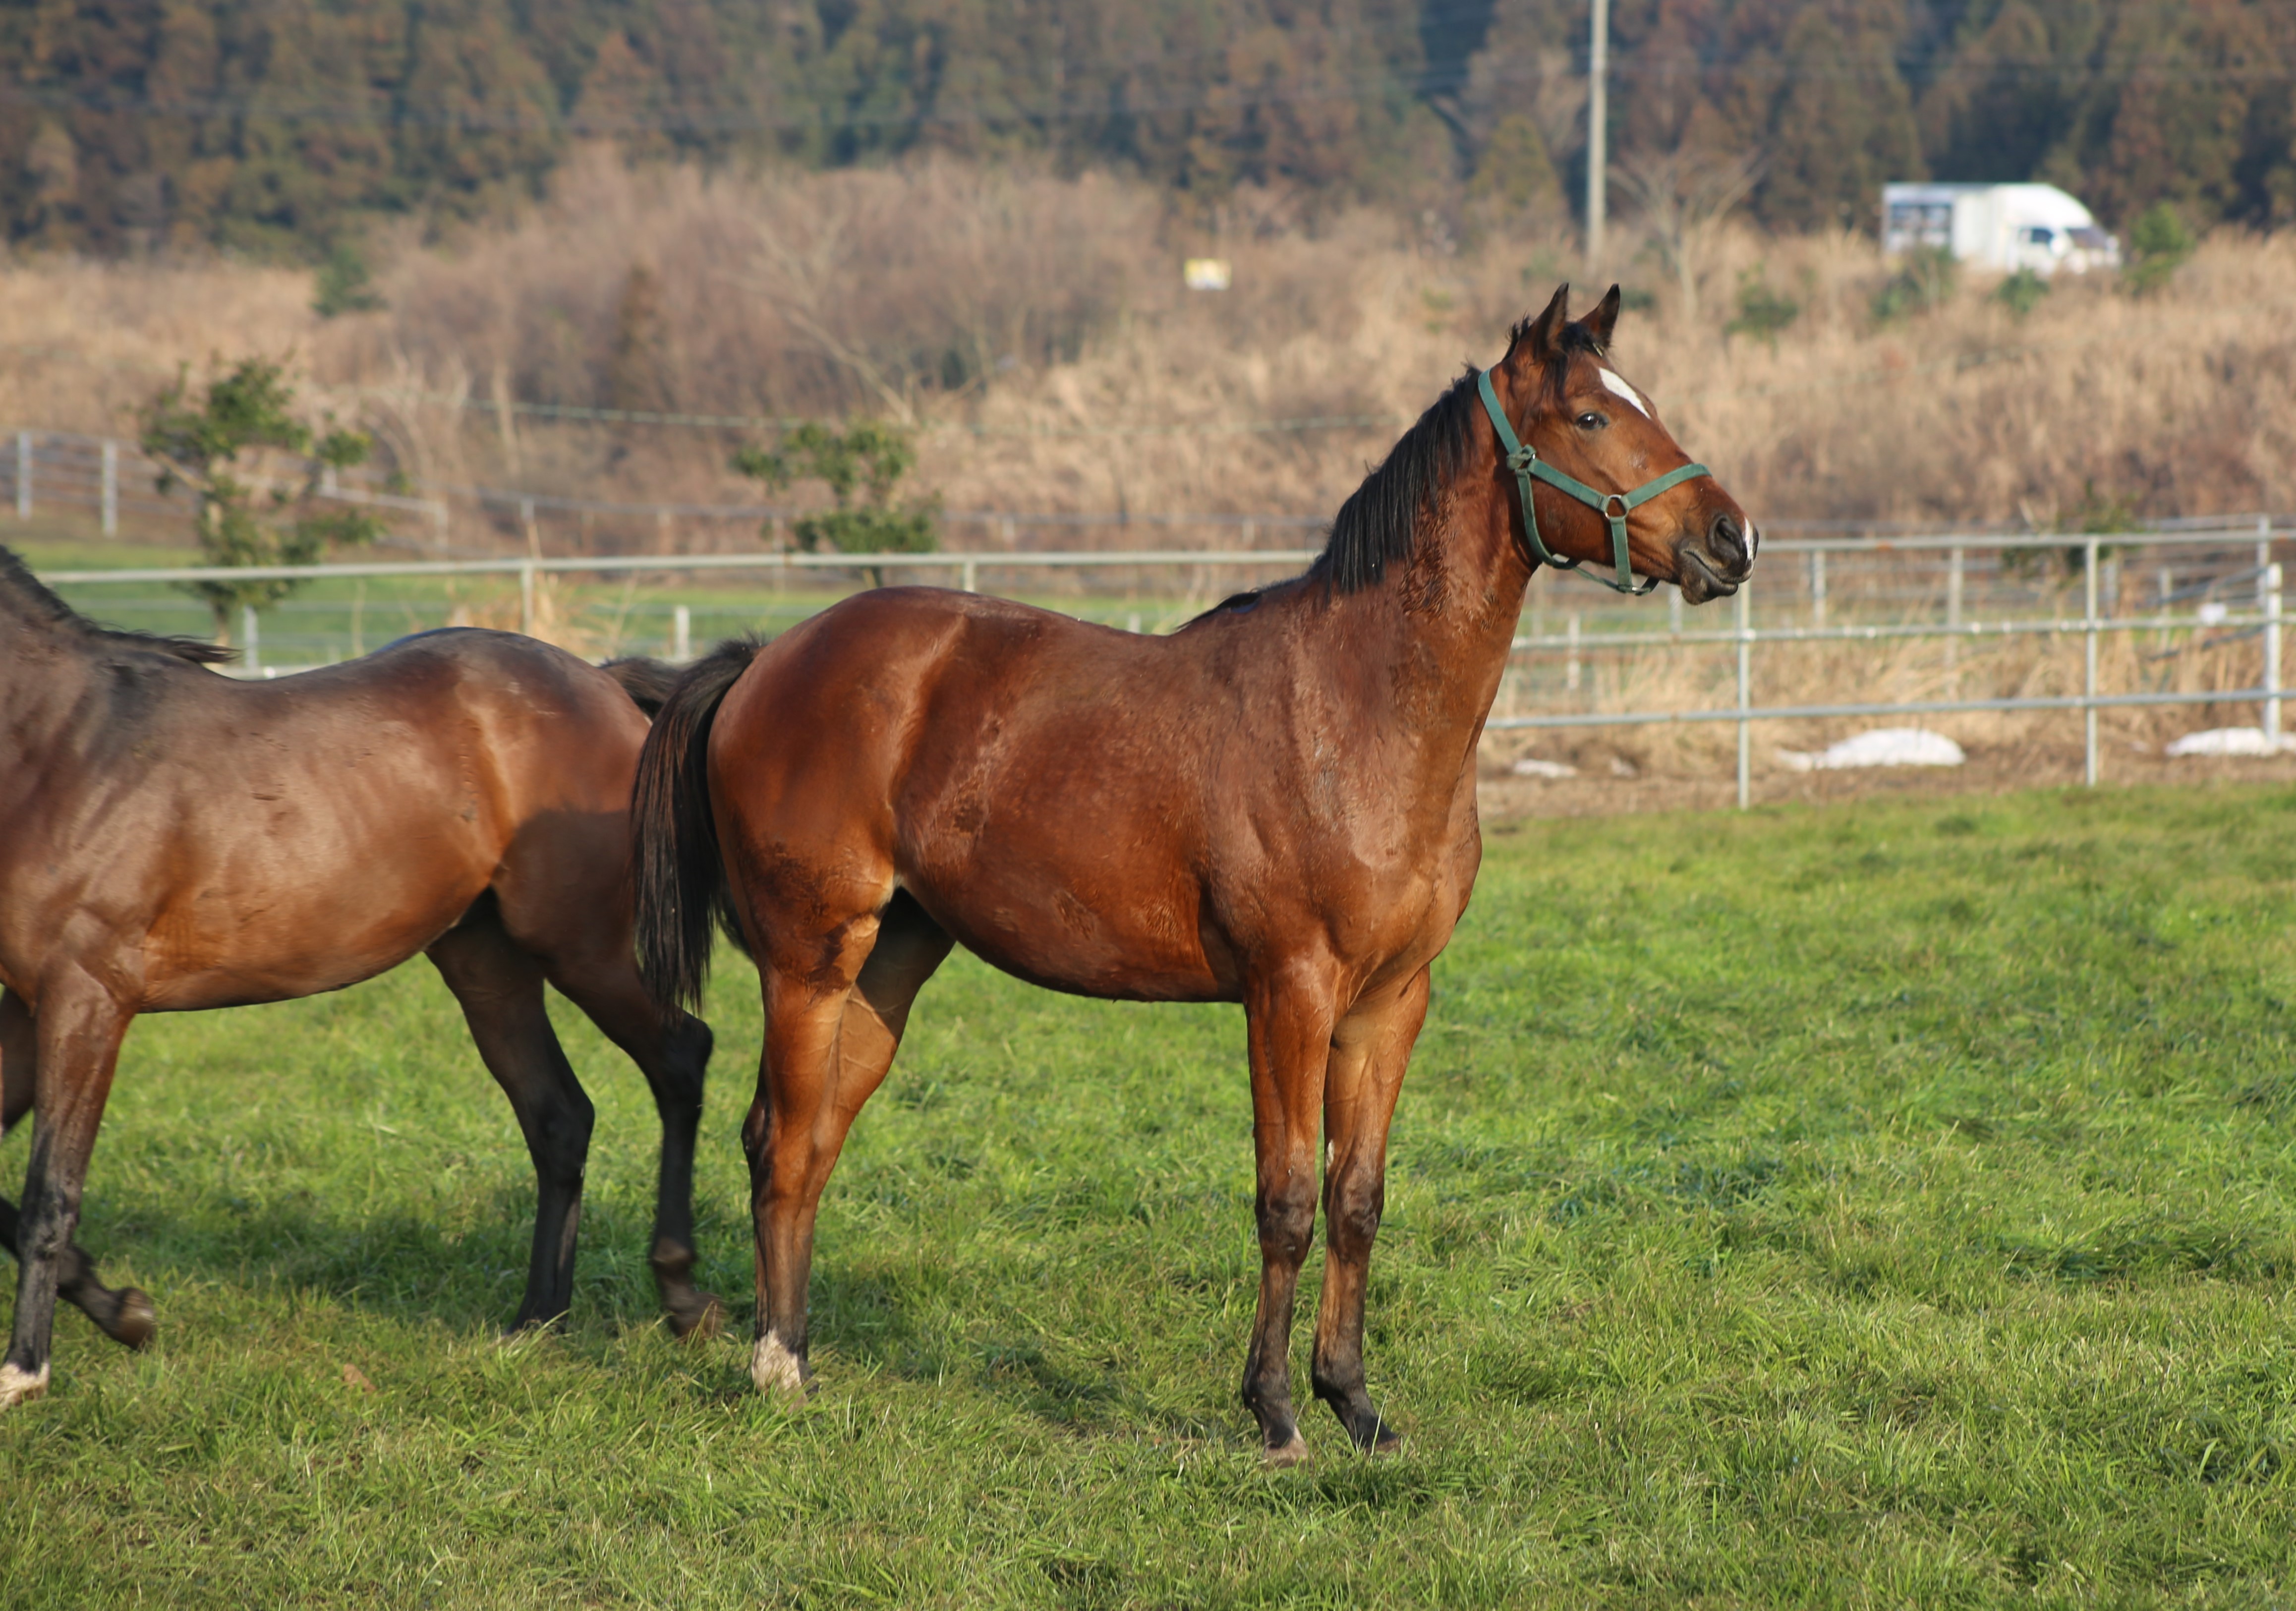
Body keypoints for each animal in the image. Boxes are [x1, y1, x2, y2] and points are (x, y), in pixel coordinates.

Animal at [0, 555, 716, 1413]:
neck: (63, 749)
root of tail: (603, 684)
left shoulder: (85, 998)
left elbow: (49, 1193)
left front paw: (26, 1369)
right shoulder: (22, 1006)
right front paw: (126, 1314)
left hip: (582, 947)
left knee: (681, 1056)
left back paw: (683, 1298)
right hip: (487, 965)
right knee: (560, 1116)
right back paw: (538, 1321)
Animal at [629, 287, 1754, 1468]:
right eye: (1590, 417)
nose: (1734, 537)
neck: (1356, 708)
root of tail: (764, 660)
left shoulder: (1391, 1003)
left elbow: (1358, 1199)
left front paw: (1355, 1402)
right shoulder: (1288, 993)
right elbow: (1287, 1200)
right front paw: (1276, 1411)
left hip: (890, 961)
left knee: (816, 1143)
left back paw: (797, 1352)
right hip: (809, 960)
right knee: (778, 1141)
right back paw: (773, 1367)